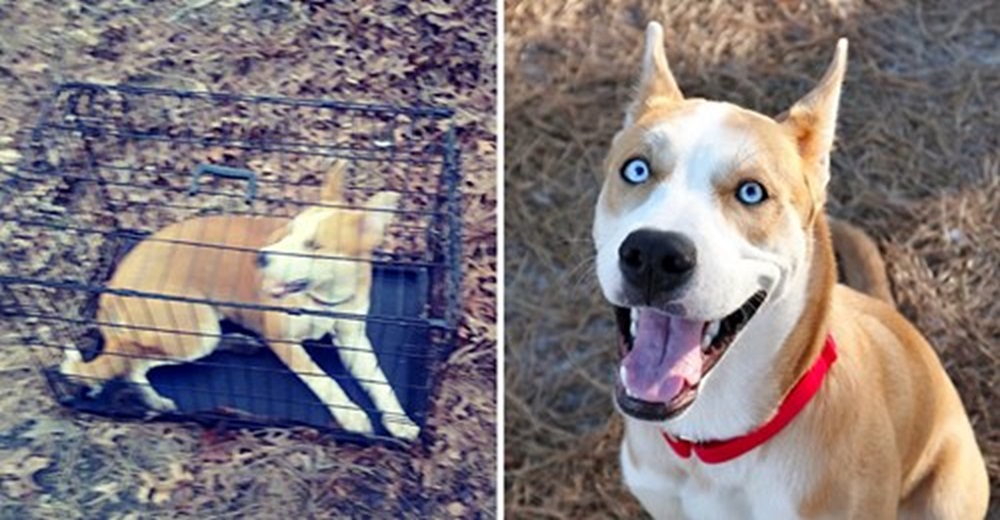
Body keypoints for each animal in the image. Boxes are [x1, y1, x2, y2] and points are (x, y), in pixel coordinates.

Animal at [59, 161, 418, 438]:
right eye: (289, 230)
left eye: (314, 245)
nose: (260, 258)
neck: (325, 298)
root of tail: (111, 286)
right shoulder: (283, 339)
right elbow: (324, 379)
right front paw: (351, 414)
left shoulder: (353, 339)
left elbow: (381, 383)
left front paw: (399, 420)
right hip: (194, 330)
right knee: (130, 363)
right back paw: (155, 401)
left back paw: (239, 343)